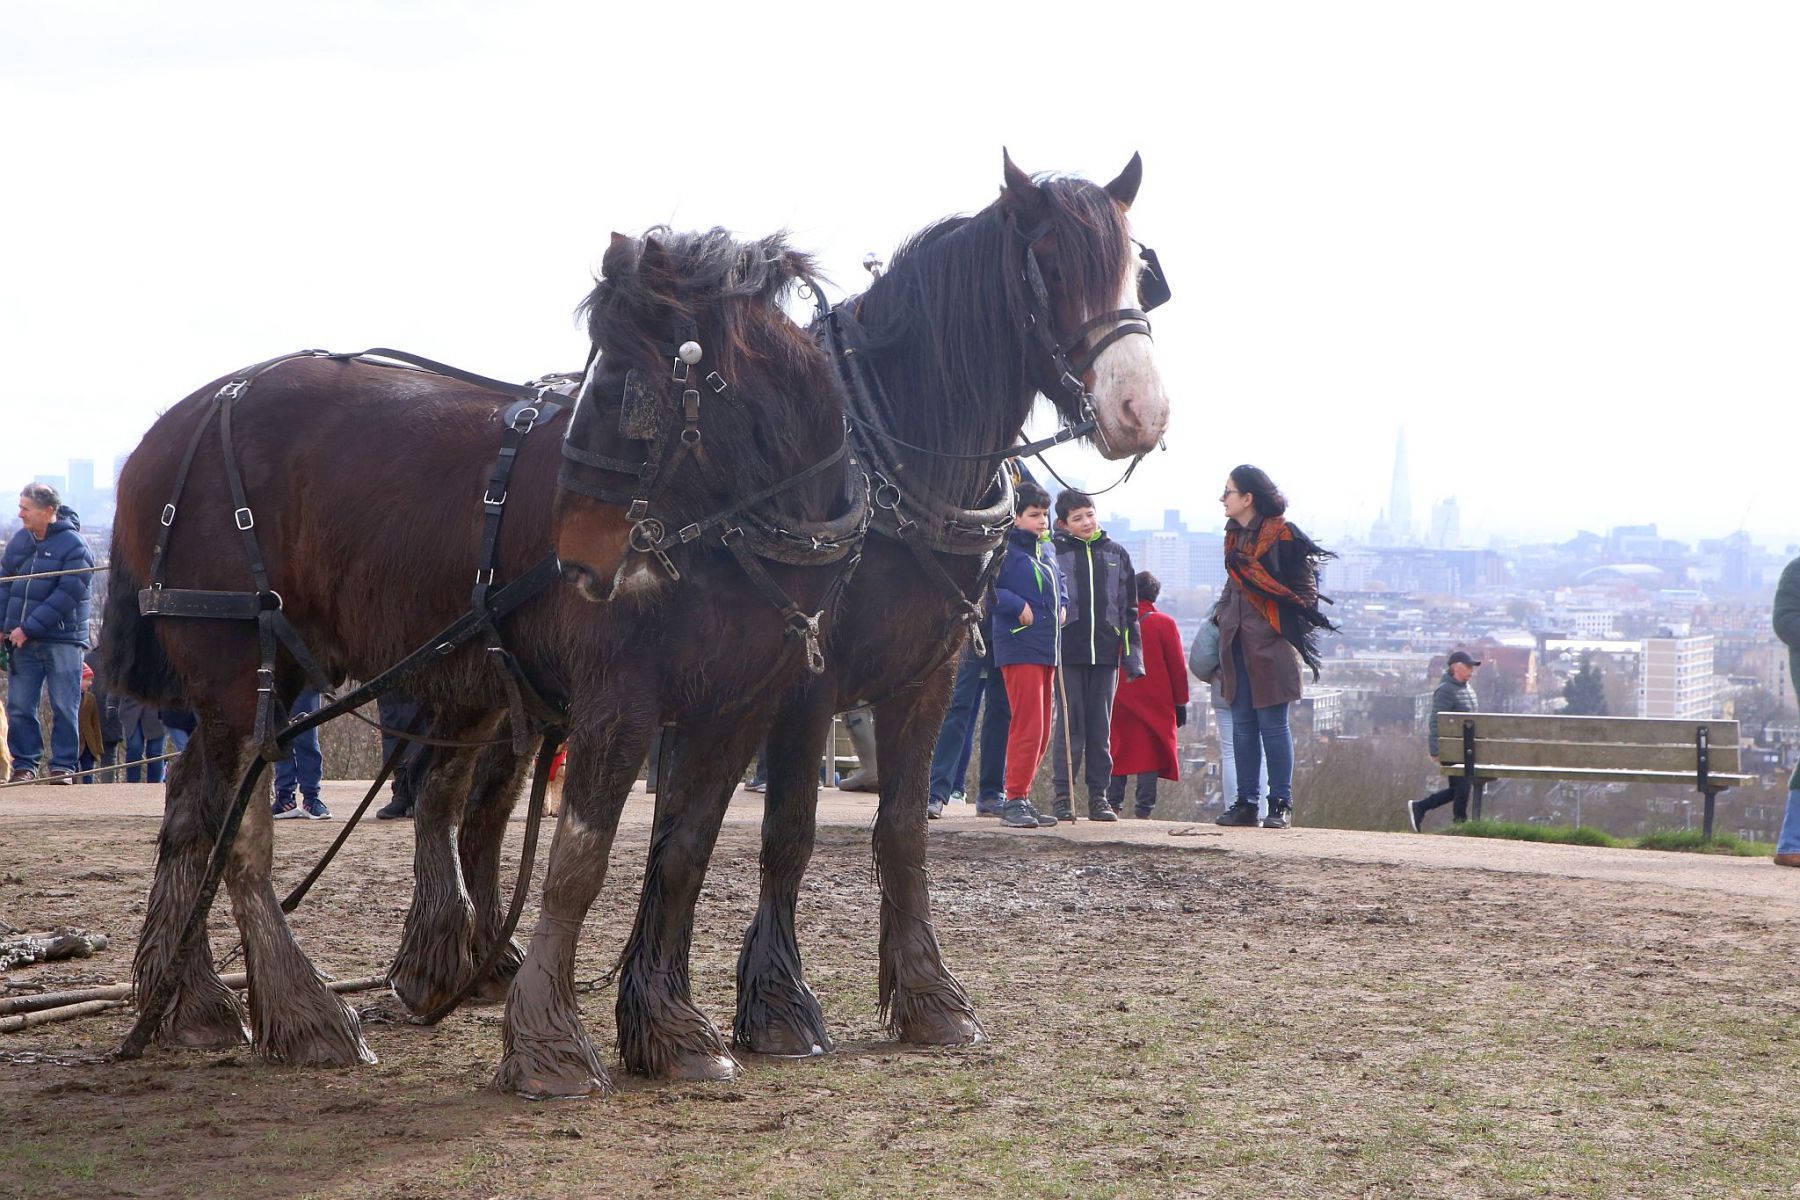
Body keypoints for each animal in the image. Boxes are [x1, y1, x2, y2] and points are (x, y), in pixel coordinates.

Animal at [102, 228, 863, 1073]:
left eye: (624, 386)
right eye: (603, 378)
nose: (581, 561)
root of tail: (170, 428)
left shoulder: (736, 709)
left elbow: (681, 859)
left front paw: (669, 1032)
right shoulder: (619, 697)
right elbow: (578, 863)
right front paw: (549, 1040)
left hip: (271, 672)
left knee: (191, 808)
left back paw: (189, 998)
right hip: (237, 664)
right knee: (239, 834)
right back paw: (305, 1014)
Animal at [509, 151, 1171, 1089]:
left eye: (1138, 272)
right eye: (1049, 264)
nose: (1140, 411)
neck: (889, 459)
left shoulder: (927, 673)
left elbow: (898, 829)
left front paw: (928, 996)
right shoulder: (807, 678)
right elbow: (789, 829)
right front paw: (778, 1006)